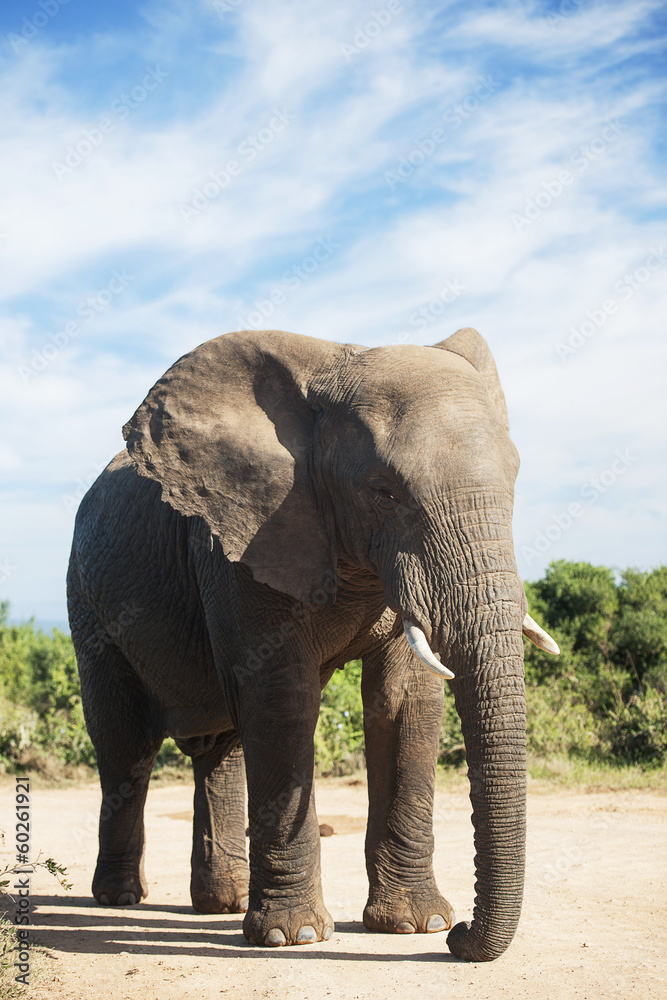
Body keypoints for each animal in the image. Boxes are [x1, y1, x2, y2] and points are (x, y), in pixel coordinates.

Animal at [67, 326, 558, 961]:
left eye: (516, 480)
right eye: (383, 491)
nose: (461, 938)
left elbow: (405, 700)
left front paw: (416, 925)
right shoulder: (239, 540)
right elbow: (280, 696)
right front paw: (293, 937)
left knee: (220, 745)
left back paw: (222, 903)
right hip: (88, 603)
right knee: (125, 745)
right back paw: (121, 898)